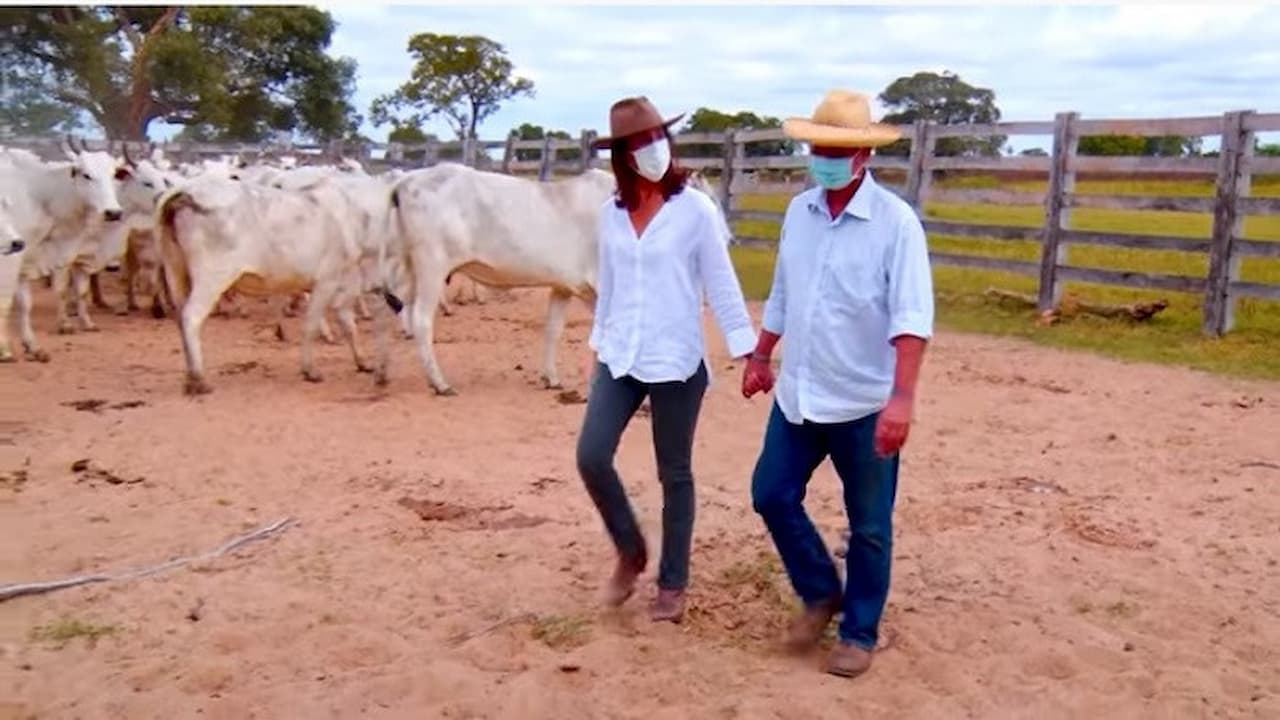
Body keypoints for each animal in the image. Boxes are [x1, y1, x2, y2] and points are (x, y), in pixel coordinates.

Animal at [154, 170, 396, 392]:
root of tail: (186, 190)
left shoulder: (344, 285)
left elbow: (348, 325)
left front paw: (362, 362)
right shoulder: (326, 281)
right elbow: (311, 325)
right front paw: (310, 370)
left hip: (176, 272)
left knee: (180, 317)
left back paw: (189, 378)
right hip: (212, 278)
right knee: (191, 317)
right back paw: (199, 379)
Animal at [381, 162, 616, 392]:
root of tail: (406, 179)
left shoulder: (564, 287)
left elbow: (553, 330)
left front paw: (551, 378)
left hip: (411, 267)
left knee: (399, 304)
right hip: (432, 265)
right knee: (421, 319)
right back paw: (440, 383)